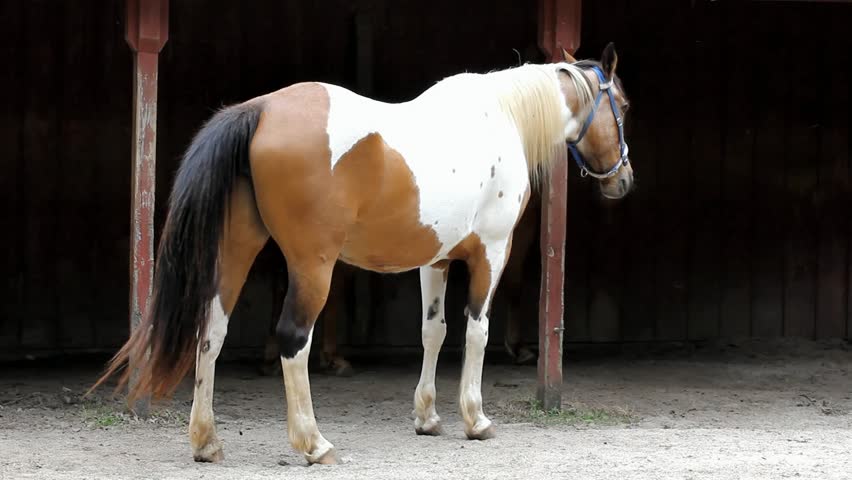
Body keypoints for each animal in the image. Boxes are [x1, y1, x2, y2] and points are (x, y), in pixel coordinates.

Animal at [90, 43, 633, 465]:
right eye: (623, 106)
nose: (623, 180)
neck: (500, 119)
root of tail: (260, 110)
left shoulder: (435, 260)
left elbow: (434, 332)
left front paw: (427, 415)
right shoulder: (492, 253)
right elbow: (475, 331)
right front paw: (475, 418)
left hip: (237, 251)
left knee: (212, 332)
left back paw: (206, 442)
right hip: (312, 267)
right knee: (293, 338)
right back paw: (313, 443)